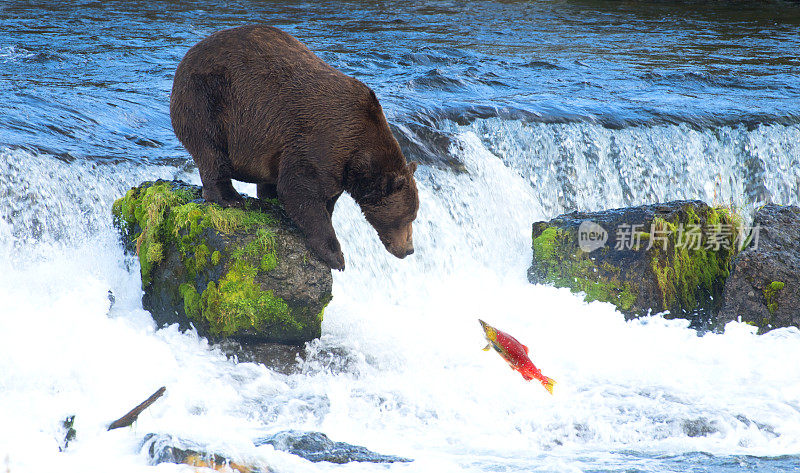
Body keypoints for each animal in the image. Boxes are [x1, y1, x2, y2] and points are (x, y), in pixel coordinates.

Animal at [169, 24, 418, 270]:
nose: (409, 250)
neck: (357, 156)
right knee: (210, 149)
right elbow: (299, 191)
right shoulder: (320, 144)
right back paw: (229, 197)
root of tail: (189, 54)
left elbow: (322, 198)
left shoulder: (336, 168)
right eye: (408, 218)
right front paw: (336, 256)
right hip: (208, 99)